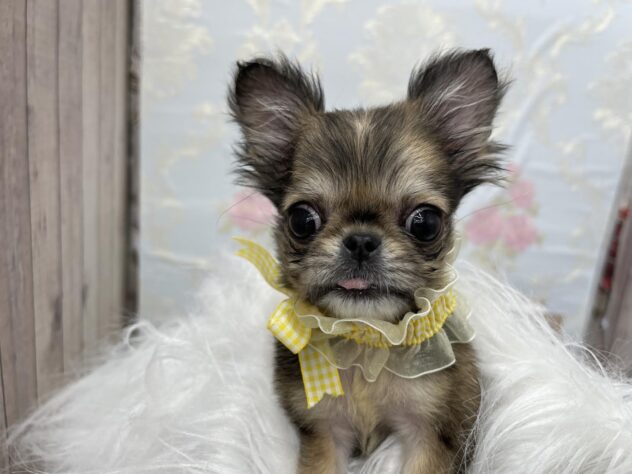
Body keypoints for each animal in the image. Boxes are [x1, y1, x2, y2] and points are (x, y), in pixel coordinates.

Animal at [228, 49, 507, 473]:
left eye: (425, 222)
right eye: (302, 219)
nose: (360, 241)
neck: (367, 341)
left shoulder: (431, 434)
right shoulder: (324, 433)